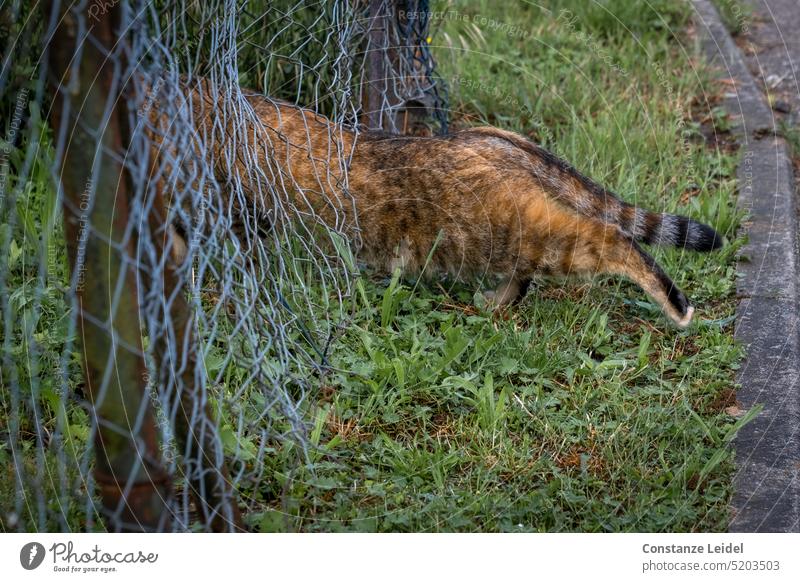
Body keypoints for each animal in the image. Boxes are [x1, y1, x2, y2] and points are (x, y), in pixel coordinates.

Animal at [147, 78, 720, 328]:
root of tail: (495, 141)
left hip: (521, 233)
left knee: (613, 240)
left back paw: (673, 302)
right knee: (526, 273)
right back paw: (498, 301)